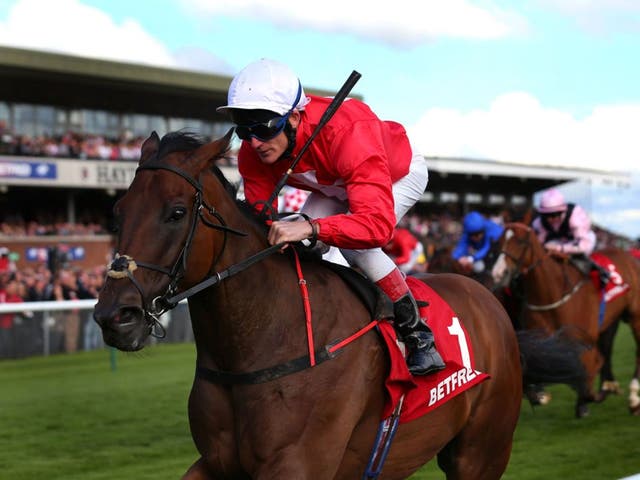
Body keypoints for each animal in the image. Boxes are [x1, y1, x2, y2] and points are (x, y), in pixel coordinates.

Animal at [94, 132, 584, 480]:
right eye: (117, 212)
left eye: (176, 212)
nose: (114, 316)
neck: (266, 337)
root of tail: (490, 300)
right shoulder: (216, 462)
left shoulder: (298, 464)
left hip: (482, 451)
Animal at [490, 224, 640, 416]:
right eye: (499, 241)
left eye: (521, 241)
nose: (499, 273)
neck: (551, 293)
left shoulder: (582, 337)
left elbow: (588, 366)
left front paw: (587, 399)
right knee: (607, 346)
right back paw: (608, 386)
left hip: (635, 315)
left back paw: (633, 398)